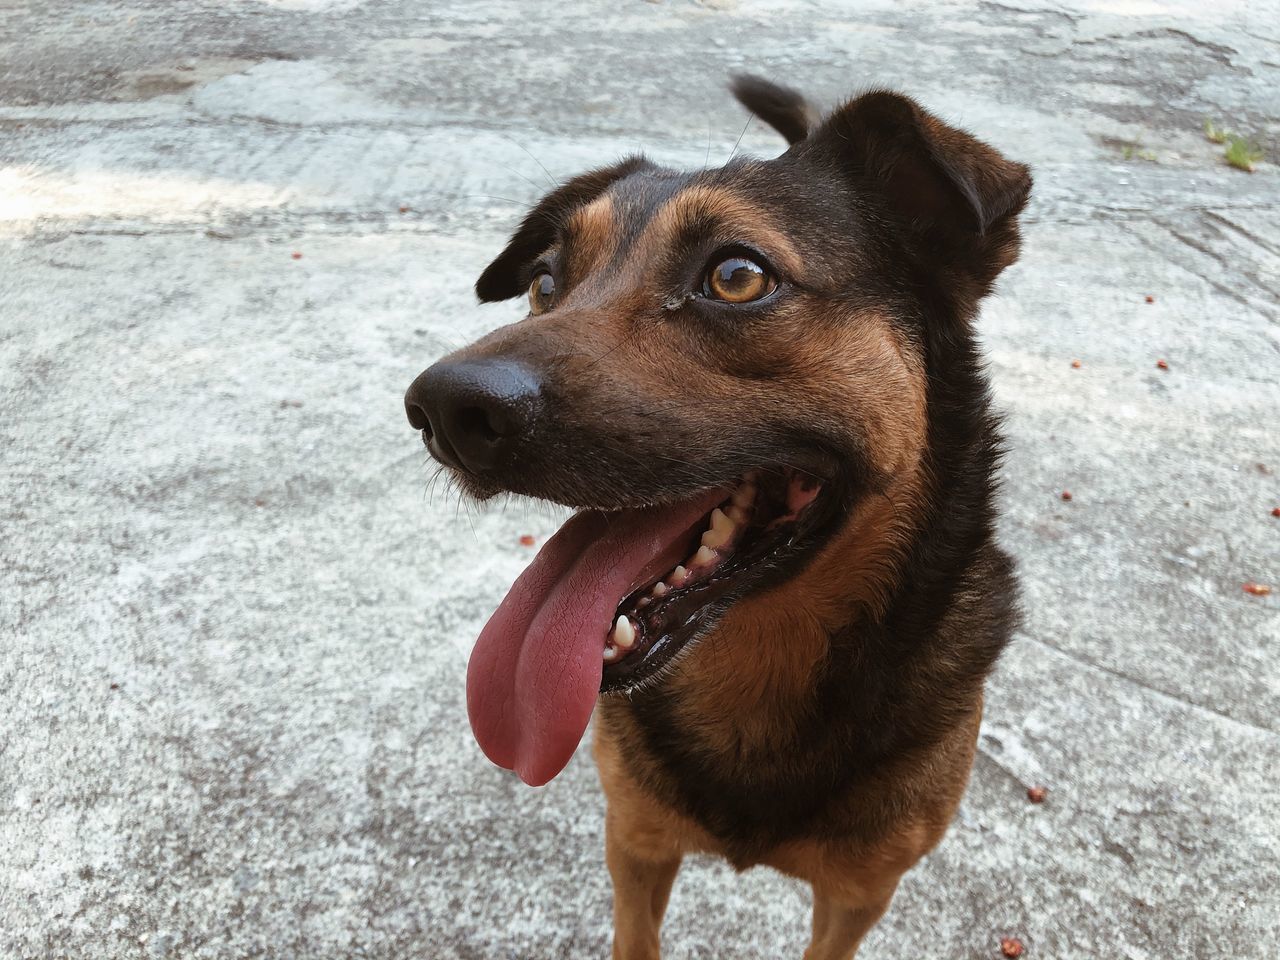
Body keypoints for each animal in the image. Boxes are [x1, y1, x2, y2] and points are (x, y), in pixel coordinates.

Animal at [404, 77, 1034, 960]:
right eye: (546, 283)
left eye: (737, 276)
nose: (443, 411)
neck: (755, 668)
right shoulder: (634, 842)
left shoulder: (860, 893)